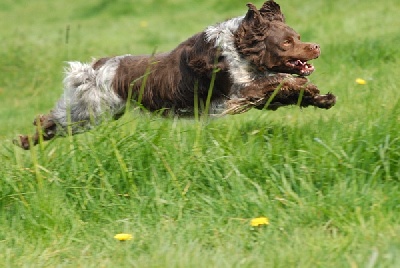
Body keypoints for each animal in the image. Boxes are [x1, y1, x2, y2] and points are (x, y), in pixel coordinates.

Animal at [14, 0, 334, 151]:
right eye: (287, 42)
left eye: (299, 37)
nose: (317, 46)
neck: (238, 47)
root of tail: (95, 66)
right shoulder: (238, 92)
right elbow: (280, 81)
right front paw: (309, 87)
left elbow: (288, 89)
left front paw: (322, 98)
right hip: (90, 112)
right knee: (51, 120)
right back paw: (25, 141)